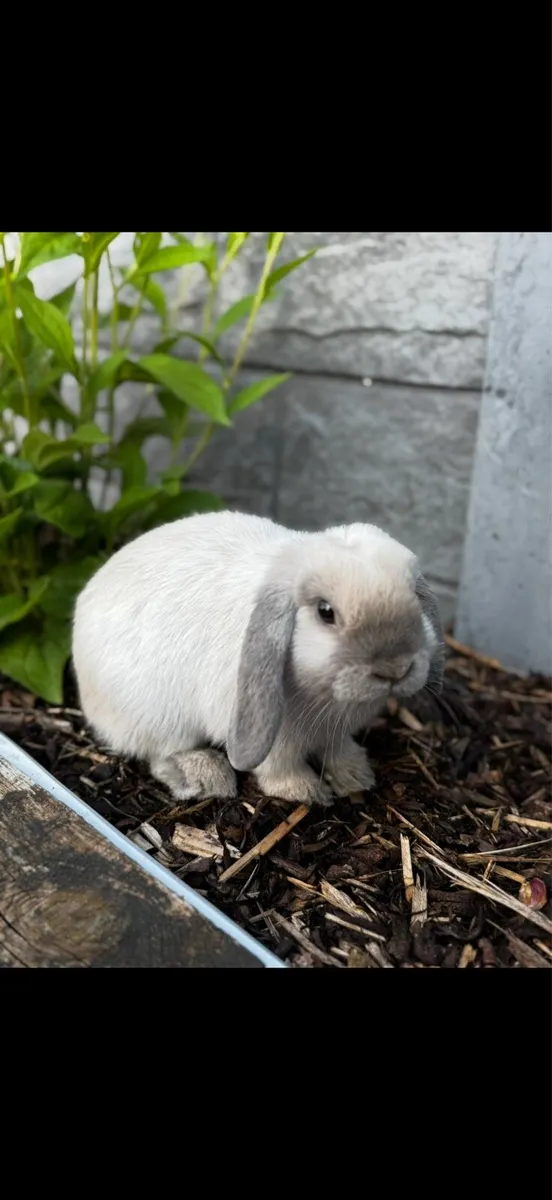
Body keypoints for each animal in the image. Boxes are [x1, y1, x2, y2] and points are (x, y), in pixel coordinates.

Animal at [72, 510, 444, 807]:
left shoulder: (336, 733)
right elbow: (279, 768)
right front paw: (306, 792)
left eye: (415, 596)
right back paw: (208, 777)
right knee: (160, 754)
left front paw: (356, 776)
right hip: (160, 716)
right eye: (325, 612)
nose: (395, 669)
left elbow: (338, 750)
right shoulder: (275, 740)